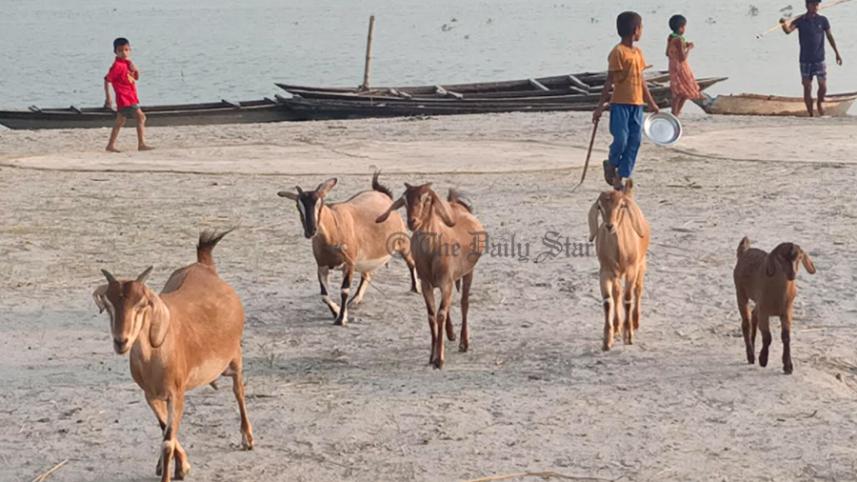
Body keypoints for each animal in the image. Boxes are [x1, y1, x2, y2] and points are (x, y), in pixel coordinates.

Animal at [92, 230, 252, 482]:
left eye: (142, 304)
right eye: (108, 305)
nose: (121, 341)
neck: (155, 358)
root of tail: (204, 266)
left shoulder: (176, 394)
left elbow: (167, 441)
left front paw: (173, 471)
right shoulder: (151, 395)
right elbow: (164, 428)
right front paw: (180, 465)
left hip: (234, 357)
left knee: (239, 390)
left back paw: (247, 437)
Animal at [278, 172, 419, 325]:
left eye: (320, 204)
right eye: (298, 206)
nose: (311, 231)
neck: (334, 229)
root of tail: (383, 195)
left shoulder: (349, 265)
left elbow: (344, 290)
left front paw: (341, 318)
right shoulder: (322, 266)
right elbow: (324, 295)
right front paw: (336, 312)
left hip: (402, 243)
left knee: (411, 262)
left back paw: (415, 288)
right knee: (367, 274)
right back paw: (355, 299)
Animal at [376, 183, 484, 369]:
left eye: (426, 199)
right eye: (405, 200)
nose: (412, 221)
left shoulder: (446, 281)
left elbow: (440, 314)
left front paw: (439, 359)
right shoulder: (427, 283)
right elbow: (432, 315)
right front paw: (432, 355)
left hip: (468, 272)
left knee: (464, 303)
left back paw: (463, 342)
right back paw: (451, 333)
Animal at [588, 181, 650, 351]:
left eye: (621, 206)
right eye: (600, 206)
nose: (610, 226)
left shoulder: (631, 270)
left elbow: (627, 299)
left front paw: (628, 335)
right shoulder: (605, 272)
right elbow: (608, 301)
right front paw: (607, 340)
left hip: (642, 263)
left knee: (637, 290)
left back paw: (635, 322)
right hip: (616, 274)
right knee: (617, 294)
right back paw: (617, 327)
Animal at [733, 237, 816, 374]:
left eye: (799, 257)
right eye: (781, 257)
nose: (792, 274)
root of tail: (744, 252)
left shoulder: (787, 311)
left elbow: (786, 336)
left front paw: (788, 366)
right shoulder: (764, 312)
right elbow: (767, 337)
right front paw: (763, 360)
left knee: (753, 315)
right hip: (740, 292)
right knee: (746, 322)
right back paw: (750, 356)